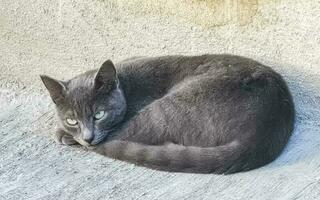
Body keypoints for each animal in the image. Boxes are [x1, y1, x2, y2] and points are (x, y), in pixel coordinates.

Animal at [40, 54, 296, 173]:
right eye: (72, 119)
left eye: (99, 115)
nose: (87, 137)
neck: (125, 85)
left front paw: (63, 133)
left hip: (166, 109)